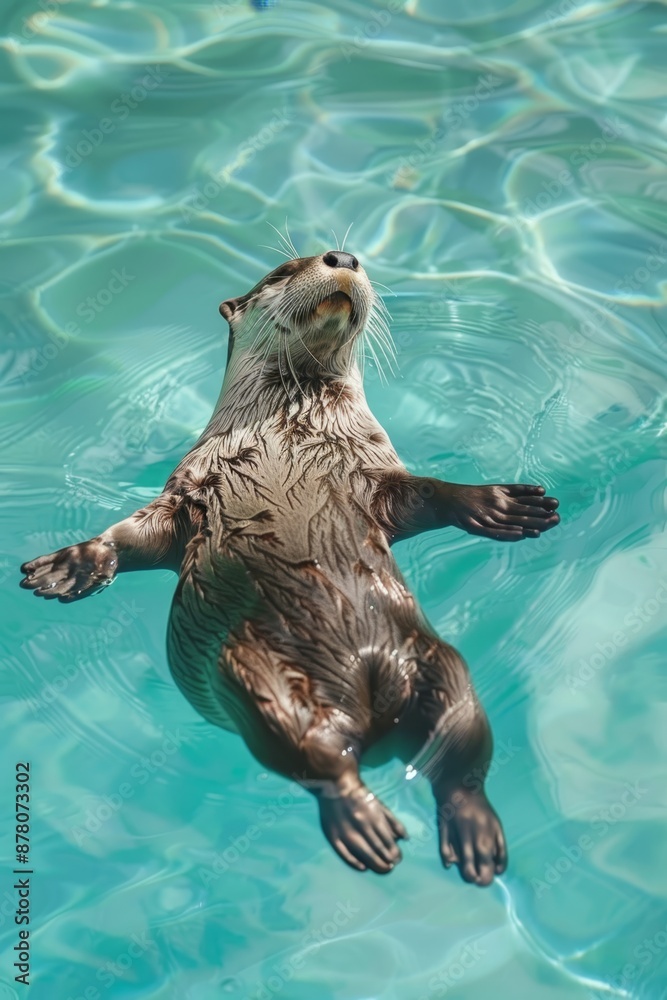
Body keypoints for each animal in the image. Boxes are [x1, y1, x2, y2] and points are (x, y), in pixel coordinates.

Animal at [20, 250, 559, 883]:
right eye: (282, 270)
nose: (343, 257)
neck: (289, 429)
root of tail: (369, 696)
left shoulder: (376, 475)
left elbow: (429, 493)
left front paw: (498, 504)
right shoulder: (190, 489)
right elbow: (134, 536)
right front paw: (69, 567)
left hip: (439, 665)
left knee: (458, 747)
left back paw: (469, 833)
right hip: (254, 680)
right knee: (314, 755)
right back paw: (369, 827)